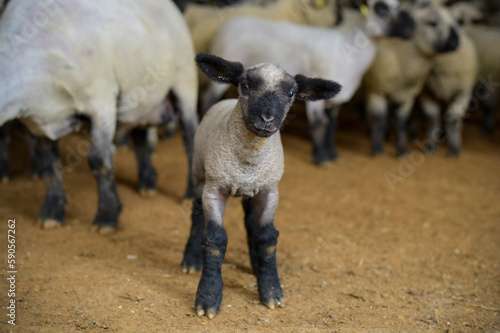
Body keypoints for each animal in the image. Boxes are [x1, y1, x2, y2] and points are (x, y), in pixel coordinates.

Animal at [0, 0, 199, 232]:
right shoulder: (40, 122)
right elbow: (49, 164)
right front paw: (52, 211)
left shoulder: (101, 101)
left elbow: (99, 160)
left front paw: (107, 216)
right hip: (141, 101)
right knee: (139, 136)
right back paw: (147, 182)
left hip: (184, 82)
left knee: (190, 137)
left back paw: (190, 193)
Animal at [182, 53, 342, 318]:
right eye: (245, 86)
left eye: (291, 93)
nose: (267, 119)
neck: (248, 160)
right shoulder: (214, 190)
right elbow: (215, 240)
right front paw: (208, 297)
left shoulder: (269, 191)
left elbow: (266, 238)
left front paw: (271, 290)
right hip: (198, 173)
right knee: (195, 216)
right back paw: (190, 260)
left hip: (252, 191)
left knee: (250, 224)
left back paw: (255, 266)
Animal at [201, 0, 416, 165]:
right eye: (381, 8)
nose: (411, 27)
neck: (349, 50)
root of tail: (233, 21)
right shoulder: (316, 97)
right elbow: (319, 124)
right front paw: (321, 158)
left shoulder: (336, 99)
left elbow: (332, 125)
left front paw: (332, 153)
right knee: (207, 99)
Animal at [362, 0, 462, 156]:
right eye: (432, 23)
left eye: (456, 22)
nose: (455, 41)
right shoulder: (376, 89)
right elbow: (379, 118)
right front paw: (377, 149)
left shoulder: (408, 95)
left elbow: (402, 121)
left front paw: (402, 150)